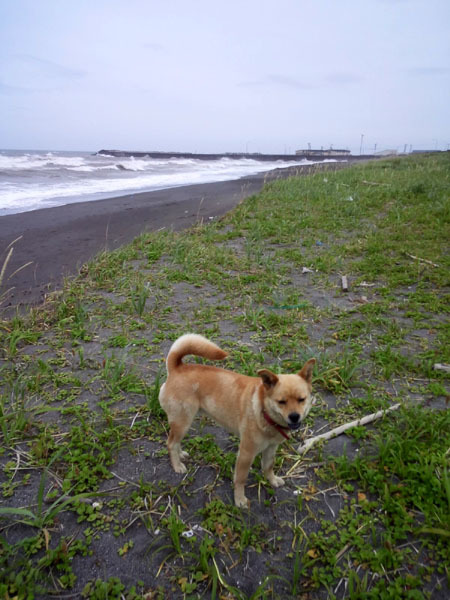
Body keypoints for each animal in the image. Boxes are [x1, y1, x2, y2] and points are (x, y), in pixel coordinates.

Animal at [160, 332, 314, 506]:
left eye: (301, 399)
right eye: (282, 402)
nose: (294, 416)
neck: (264, 413)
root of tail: (177, 368)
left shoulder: (271, 448)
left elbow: (268, 467)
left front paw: (272, 480)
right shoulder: (246, 453)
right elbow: (241, 479)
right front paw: (239, 499)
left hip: (183, 422)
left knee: (175, 442)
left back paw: (181, 455)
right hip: (183, 422)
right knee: (171, 443)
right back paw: (177, 465)